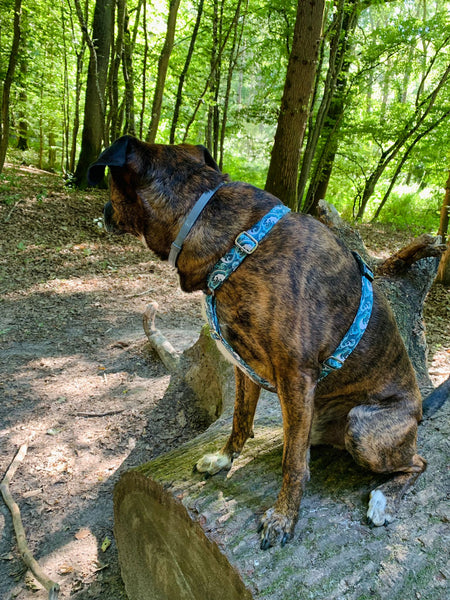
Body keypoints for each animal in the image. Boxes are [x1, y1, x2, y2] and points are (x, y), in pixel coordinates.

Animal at [87, 135, 426, 548]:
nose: (102, 208)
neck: (234, 239)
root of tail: (419, 412)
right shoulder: (243, 364)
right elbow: (240, 419)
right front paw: (224, 458)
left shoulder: (296, 376)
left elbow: (292, 465)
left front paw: (283, 518)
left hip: (364, 429)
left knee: (417, 462)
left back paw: (383, 499)